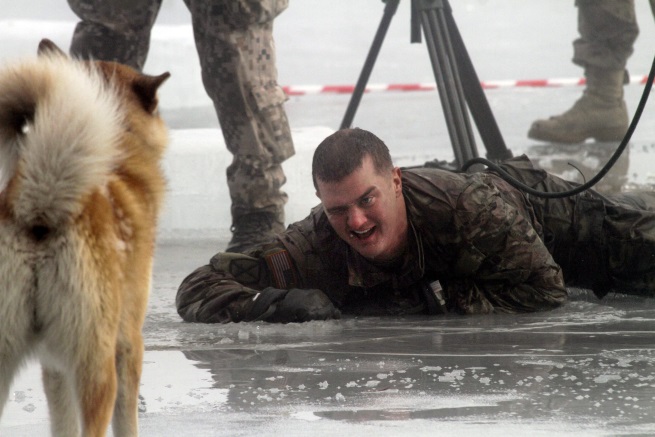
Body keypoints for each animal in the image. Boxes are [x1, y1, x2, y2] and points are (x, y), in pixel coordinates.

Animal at [0, 39, 172, 434]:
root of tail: (40, 204)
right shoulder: (128, 342)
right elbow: (126, 422)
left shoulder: (53, 364)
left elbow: (63, 423)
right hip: (96, 362)